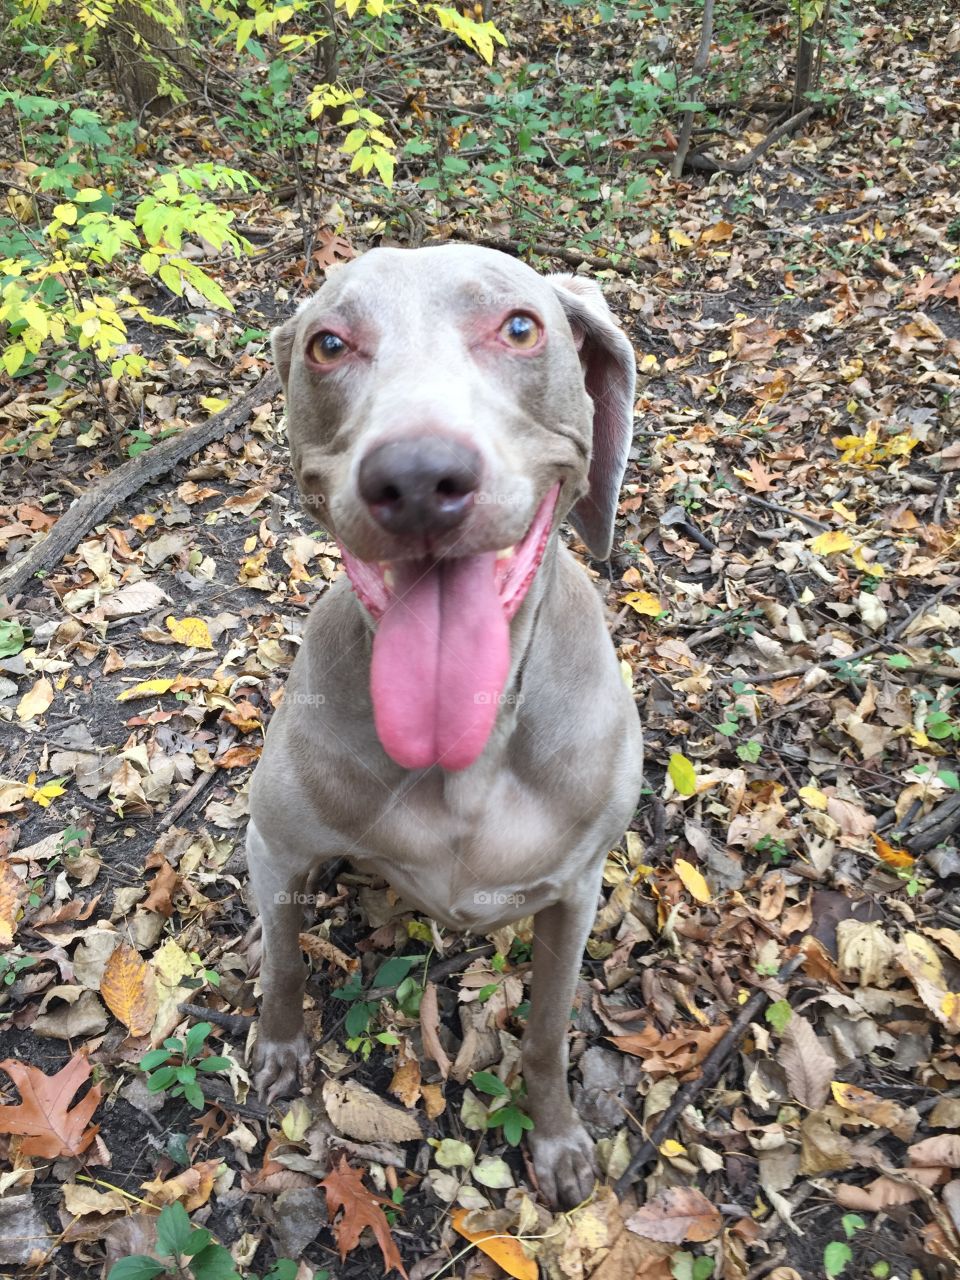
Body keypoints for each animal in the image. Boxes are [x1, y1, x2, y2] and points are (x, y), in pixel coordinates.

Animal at [245, 241, 647, 1208]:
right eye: (327, 344)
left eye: (520, 328)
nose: (419, 478)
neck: (472, 754)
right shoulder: (273, 845)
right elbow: (284, 962)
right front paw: (278, 1047)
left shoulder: (575, 892)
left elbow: (546, 1029)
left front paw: (558, 1141)